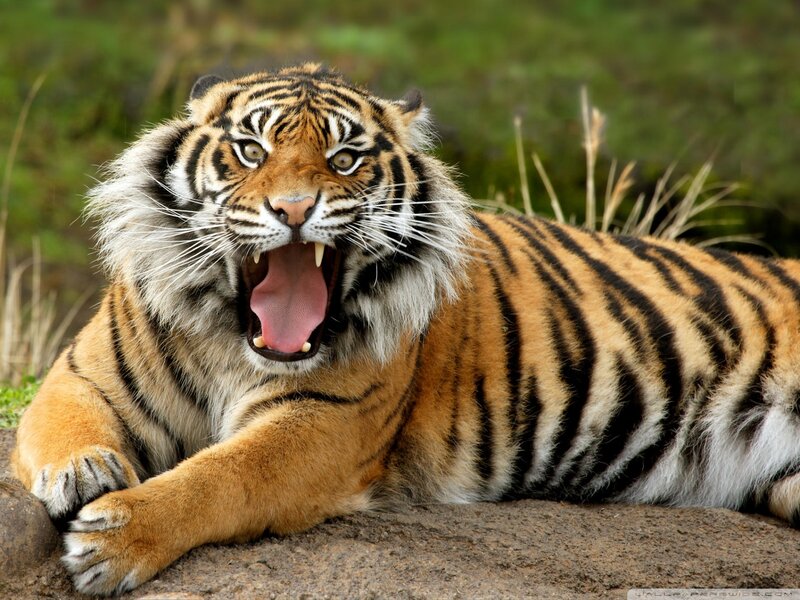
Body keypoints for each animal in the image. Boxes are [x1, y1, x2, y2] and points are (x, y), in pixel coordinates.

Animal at [11, 63, 800, 595]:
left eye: (344, 158)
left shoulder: (322, 423)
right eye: (252, 151)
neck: (230, 338)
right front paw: (84, 473)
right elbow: (61, 426)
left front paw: (115, 539)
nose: (293, 210)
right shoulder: (81, 373)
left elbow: (220, 477)